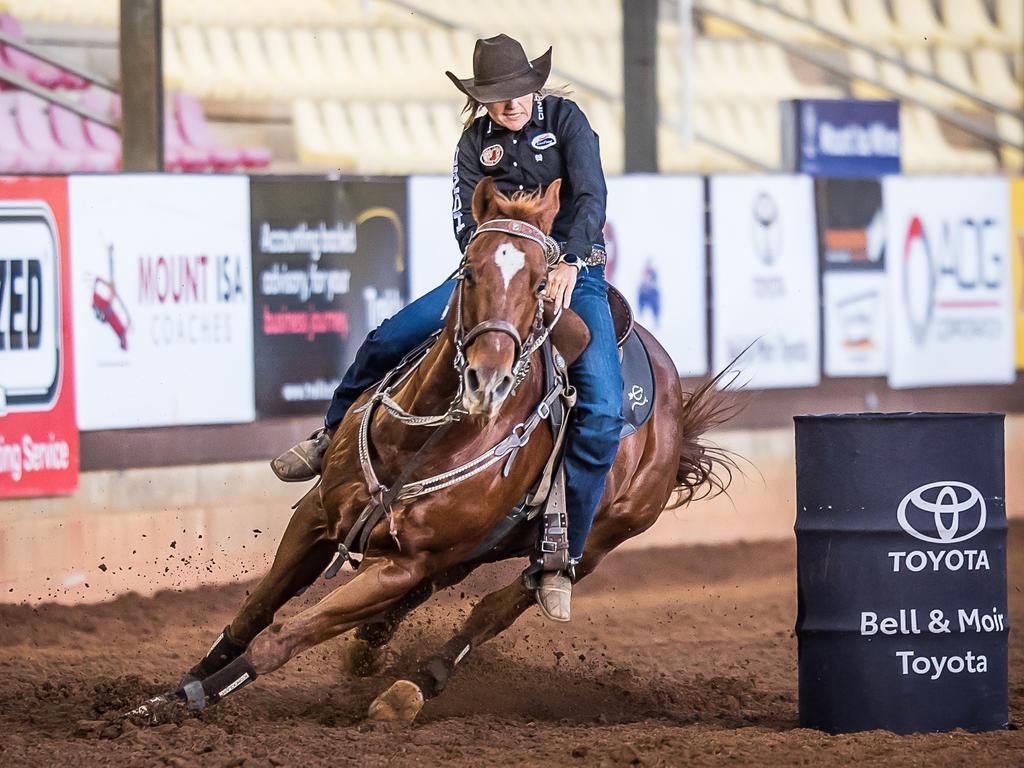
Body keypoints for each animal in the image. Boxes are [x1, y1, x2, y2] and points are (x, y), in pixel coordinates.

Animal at [136, 179, 733, 729]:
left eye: (542, 283)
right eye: (467, 272)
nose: (487, 380)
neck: (417, 441)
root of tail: (675, 409)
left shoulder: (403, 565)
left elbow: (283, 636)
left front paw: (196, 697)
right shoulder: (317, 516)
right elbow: (256, 609)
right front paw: (171, 693)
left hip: (597, 544)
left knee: (493, 611)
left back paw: (412, 687)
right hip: (475, 546)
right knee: (437, 591)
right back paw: (370, 645)